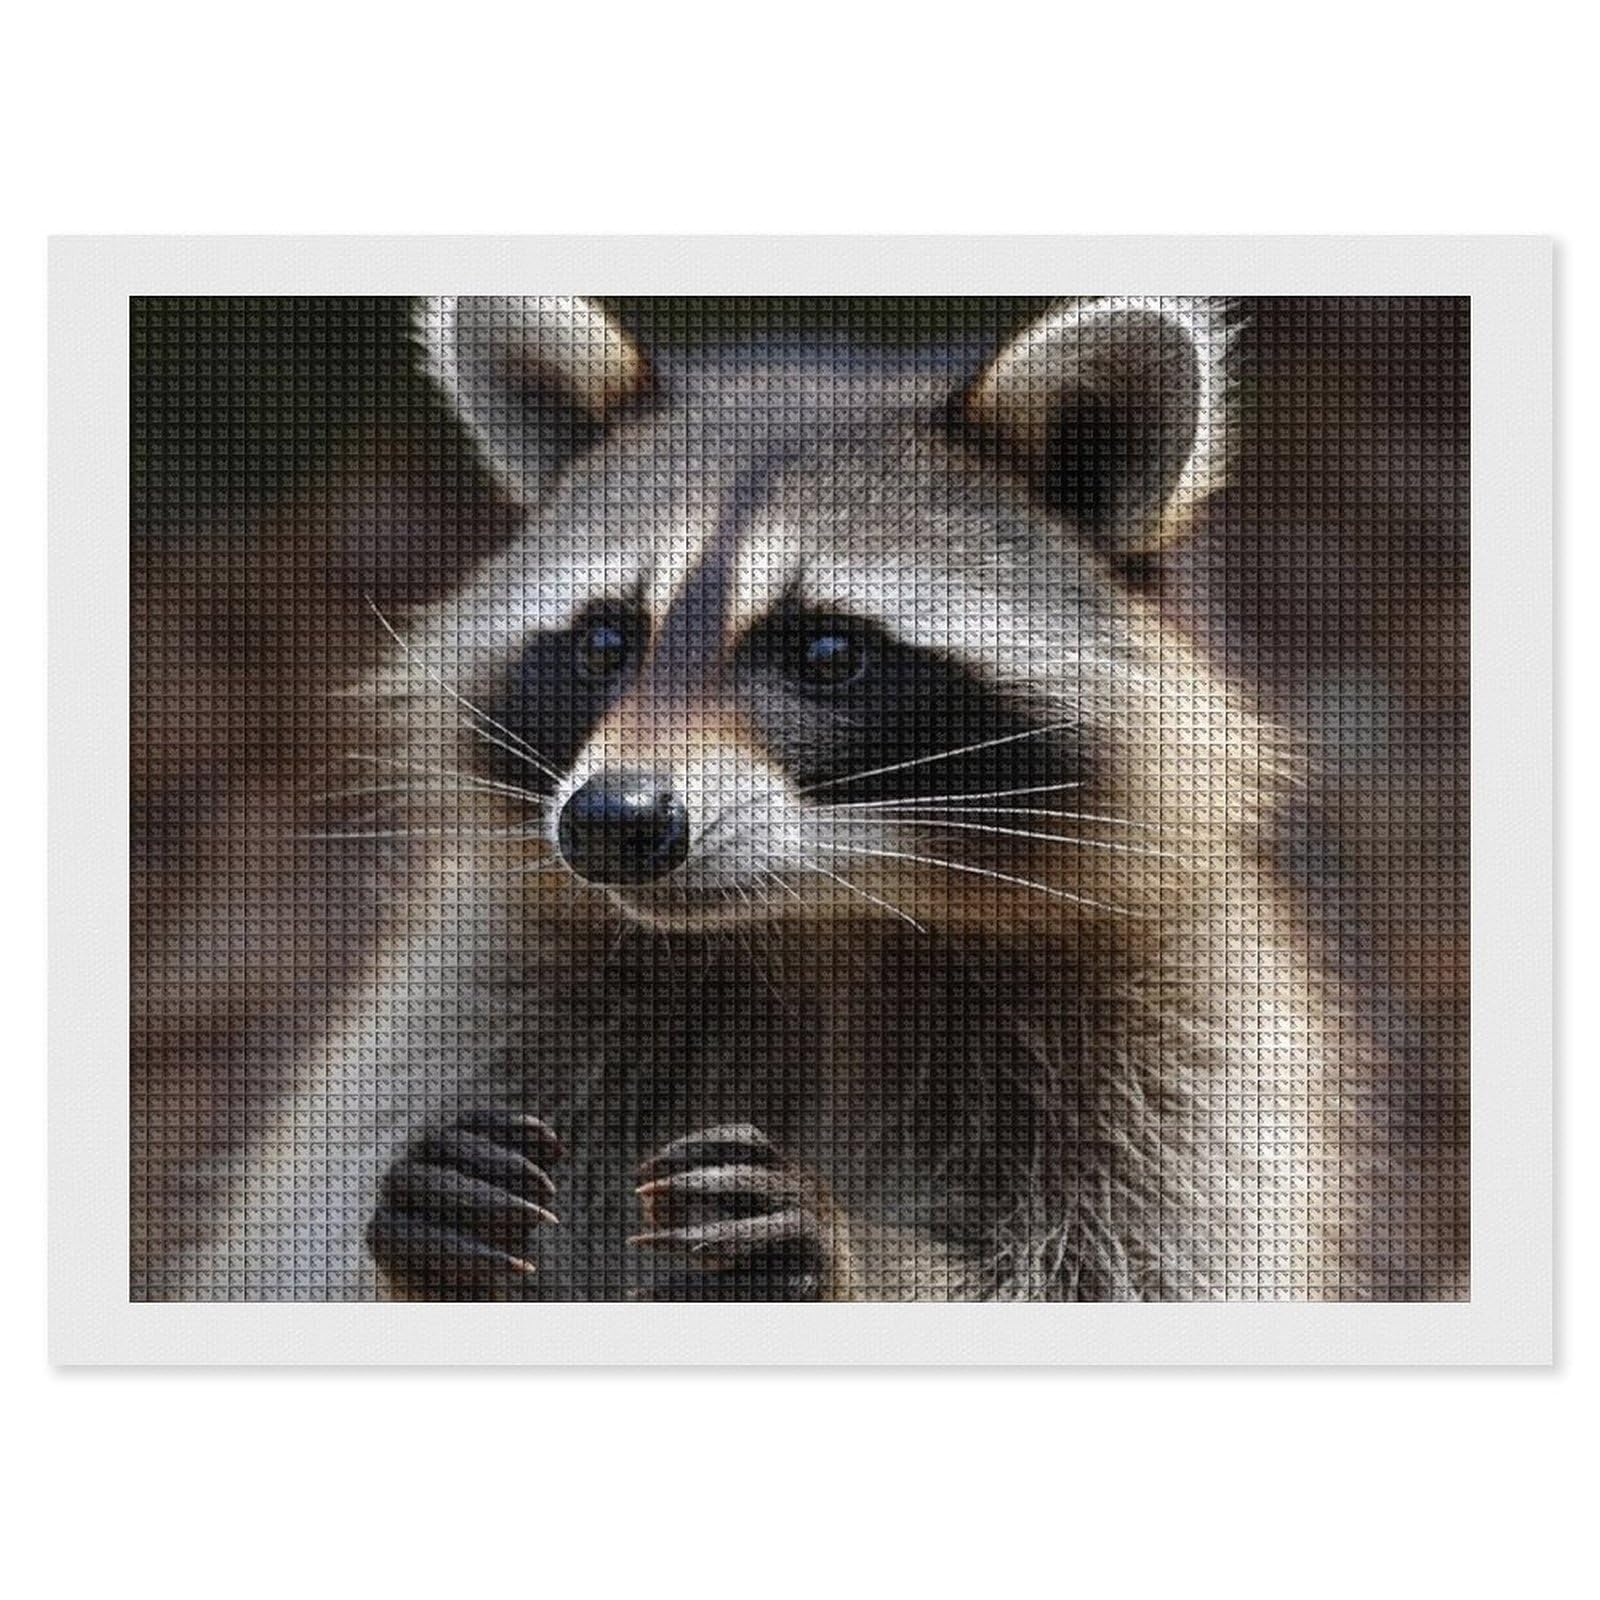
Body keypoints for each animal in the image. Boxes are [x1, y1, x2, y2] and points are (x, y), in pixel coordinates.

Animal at [135, 294, 1397, 1302]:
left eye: (827, 651)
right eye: (605, 641)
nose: (613, 822)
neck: (819, 925)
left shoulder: (1187, 1052)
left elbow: (1132, 1269)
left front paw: (860, 1254)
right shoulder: (470, 1003)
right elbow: (293, 1253)